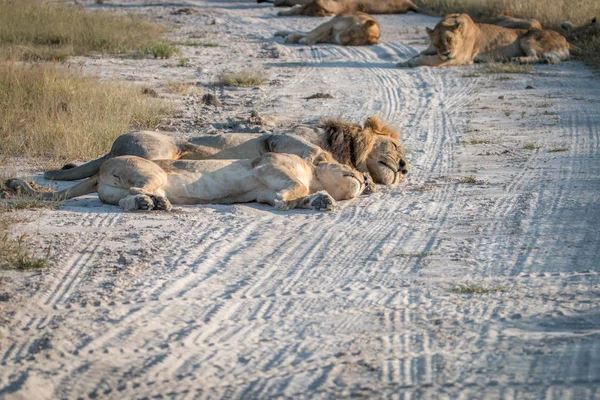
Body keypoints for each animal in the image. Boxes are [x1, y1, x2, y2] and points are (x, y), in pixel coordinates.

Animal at [396, 13, 576, 67]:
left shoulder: (459, 58)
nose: (446, 53)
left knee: (537, 55)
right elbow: (419, 54)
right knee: (552, 57)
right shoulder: (432, 50)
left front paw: (413, 62)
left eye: (450, 40)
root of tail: (564, 38)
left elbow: (429, 59)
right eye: (437, 43)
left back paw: (519, 59)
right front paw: (404, 62)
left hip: (528, 38)